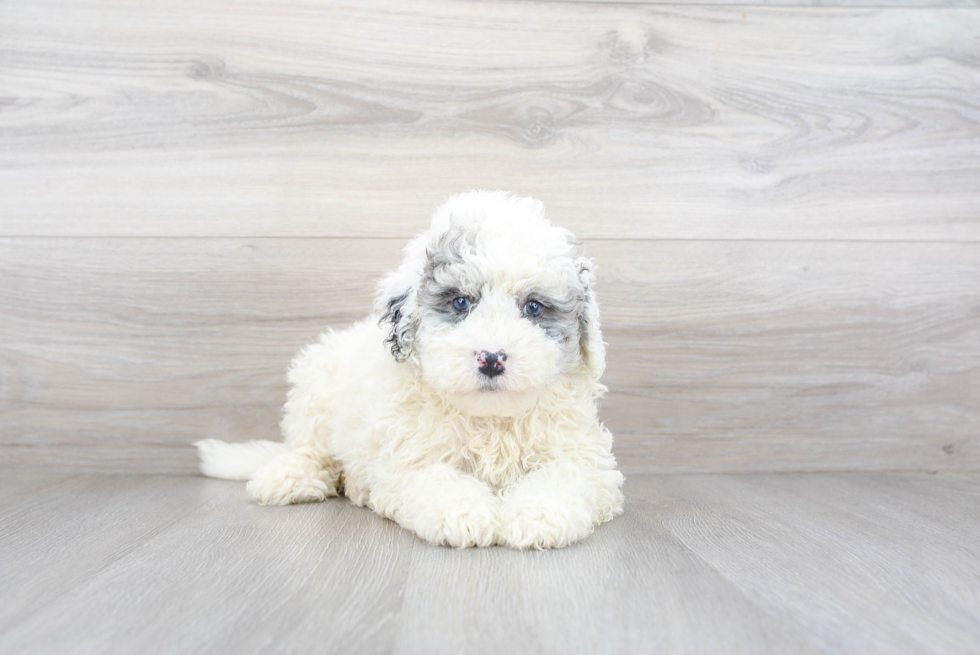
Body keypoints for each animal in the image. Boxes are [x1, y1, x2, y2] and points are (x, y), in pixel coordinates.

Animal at [198, 190, 624, 548]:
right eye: (461, 302)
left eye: (534, 307)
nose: (491, 358)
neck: (489, 421)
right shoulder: (407, 461)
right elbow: (436, 479)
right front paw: (465, 515)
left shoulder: (581, 455)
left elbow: (566, 477)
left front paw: (538, 515)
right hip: (315, 383)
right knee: (310, 450)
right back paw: (289, 477)